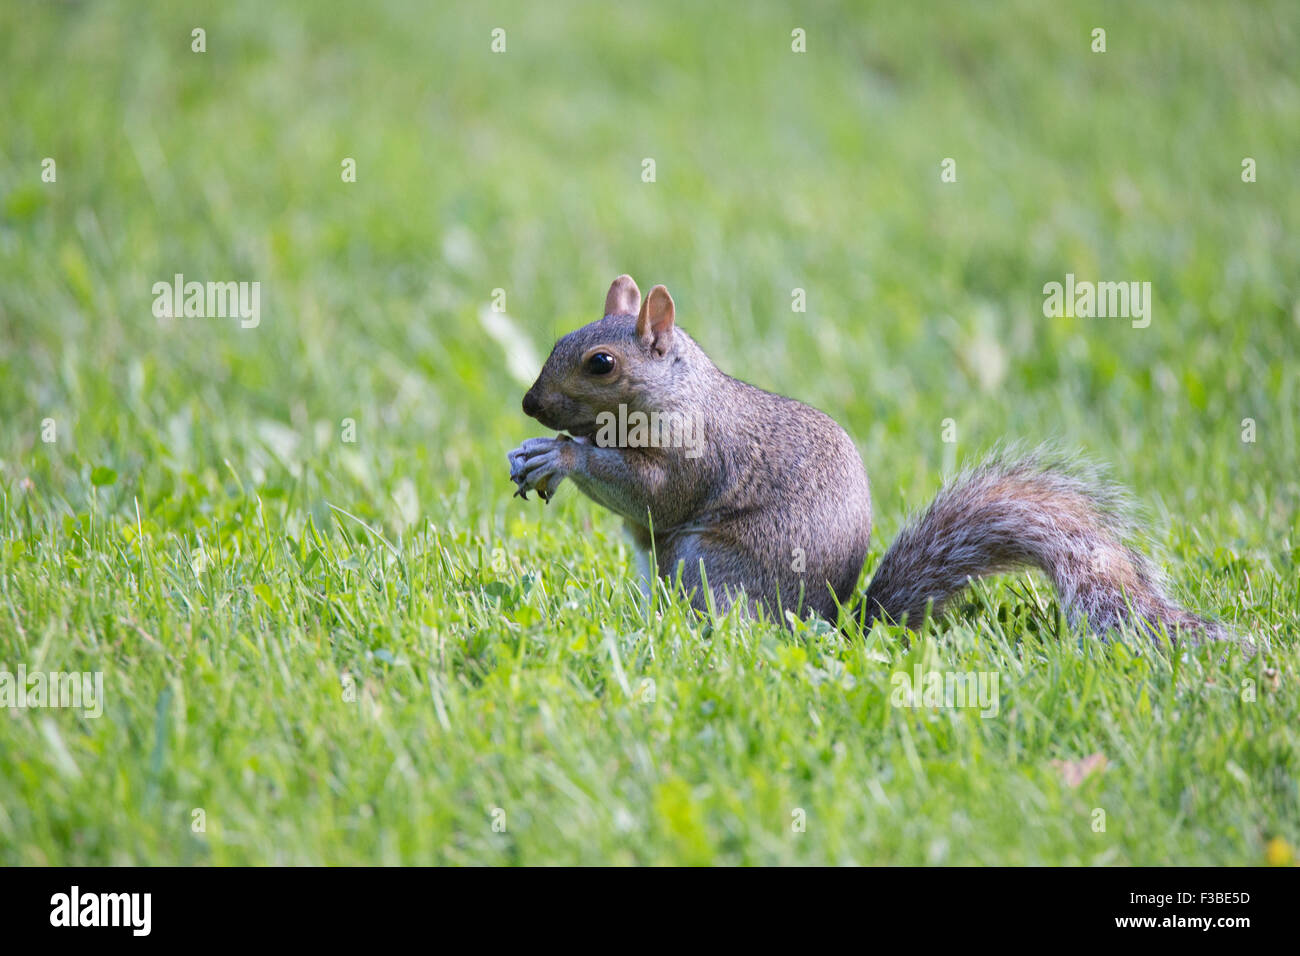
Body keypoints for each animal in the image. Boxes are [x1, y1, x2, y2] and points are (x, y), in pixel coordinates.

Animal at [507, 274, 1235, 645]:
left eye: (601, 363)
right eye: (562, 336)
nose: (529, 404)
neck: (677, 390)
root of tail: (833, 623)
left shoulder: (694, 453)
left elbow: (651, 493)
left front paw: (560, 455)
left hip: (707, 563)